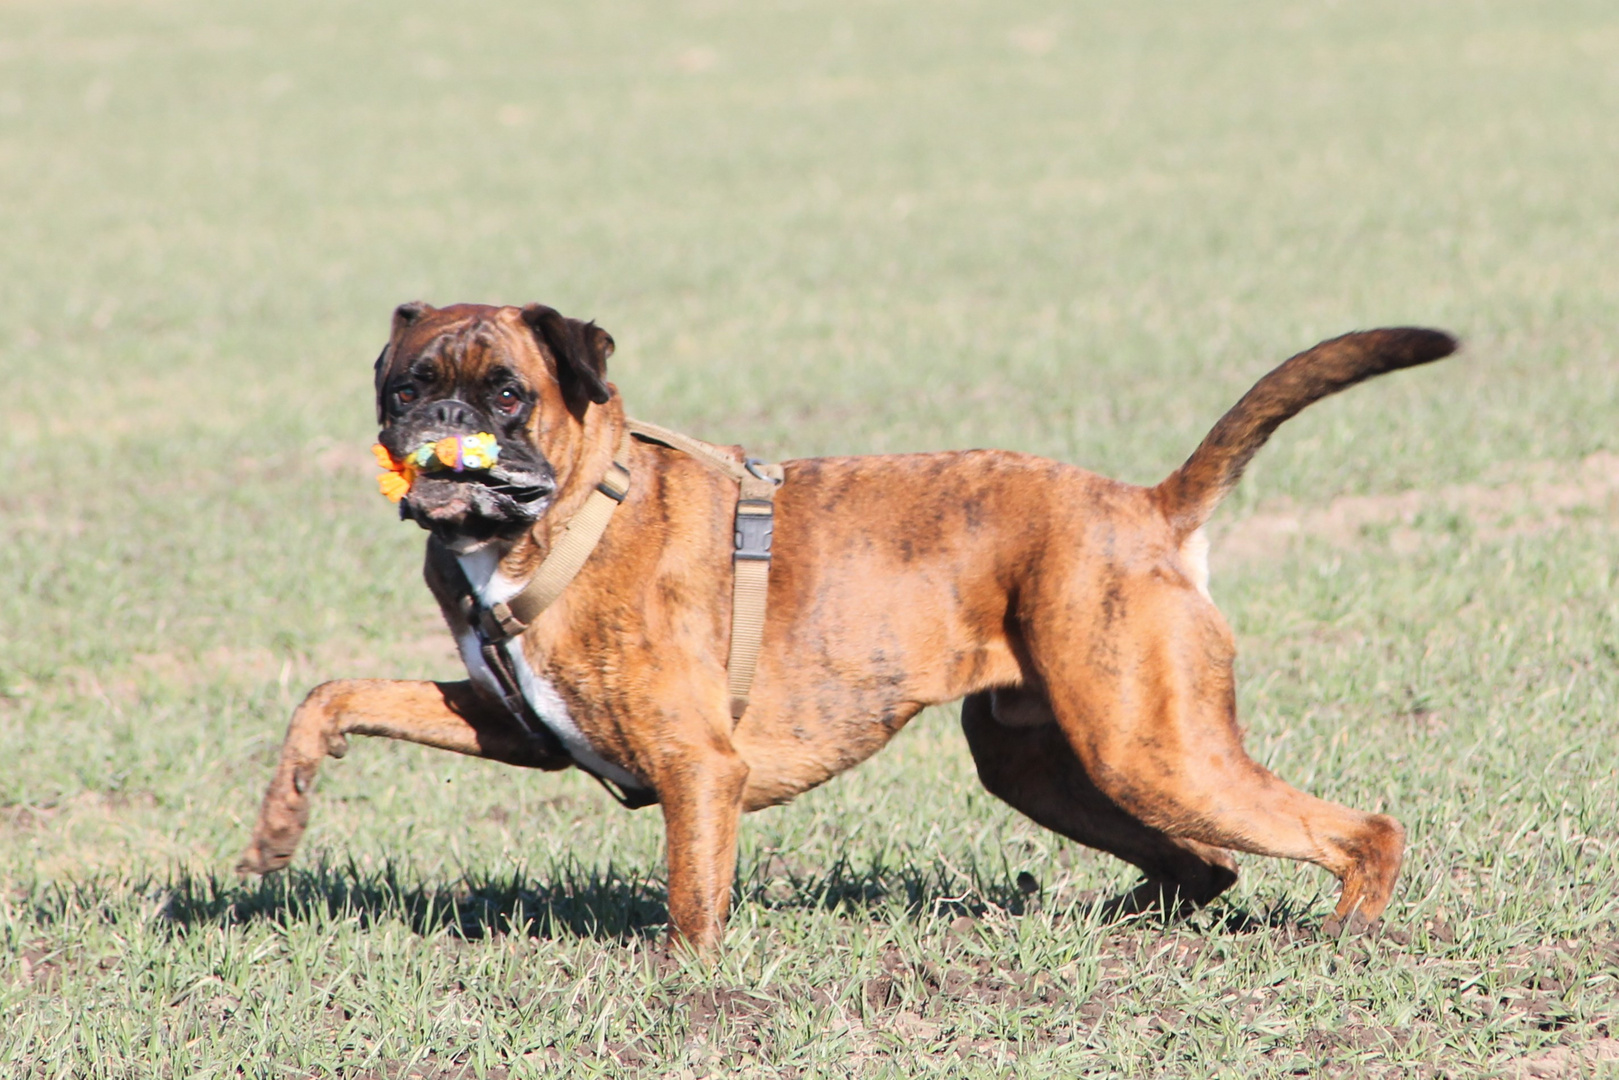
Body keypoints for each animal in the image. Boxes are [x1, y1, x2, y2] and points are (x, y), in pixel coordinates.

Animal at [236, 299, 1457, 952]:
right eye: (404, 387)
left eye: (504, 395)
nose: (438, 424)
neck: (579, 511)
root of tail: (1146, 506)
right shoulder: (516, 725)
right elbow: (333, 694)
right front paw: (278, 827)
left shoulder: (699, 771)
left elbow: (692, 905)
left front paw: (684, 997)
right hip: (1055, 764)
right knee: (1203, 868)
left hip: (1147, 746)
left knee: (1359, 831)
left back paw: (1348, 936)